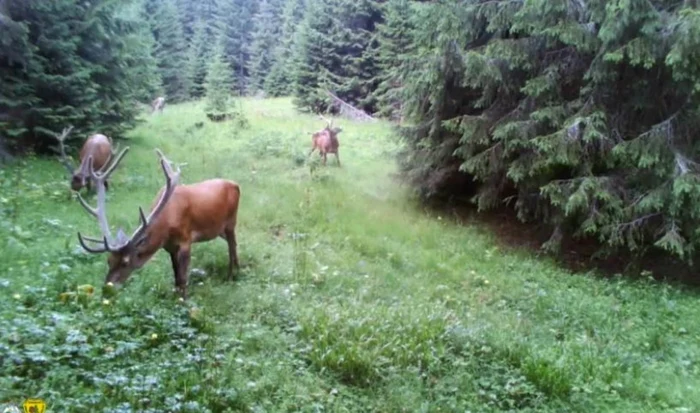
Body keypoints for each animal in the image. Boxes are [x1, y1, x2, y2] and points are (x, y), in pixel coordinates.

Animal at [75, 146, 242, 298]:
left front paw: (183, 301)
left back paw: (232, 275)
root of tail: (236, 184)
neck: (165, 227)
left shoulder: (185, 240)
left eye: (125, 262)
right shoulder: (169, 247)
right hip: (219, 229)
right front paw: (176, 297)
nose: (106, 290)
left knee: (232, 245)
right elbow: (176, 276)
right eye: (109, 260)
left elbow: (183, 278)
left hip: (231, 221)